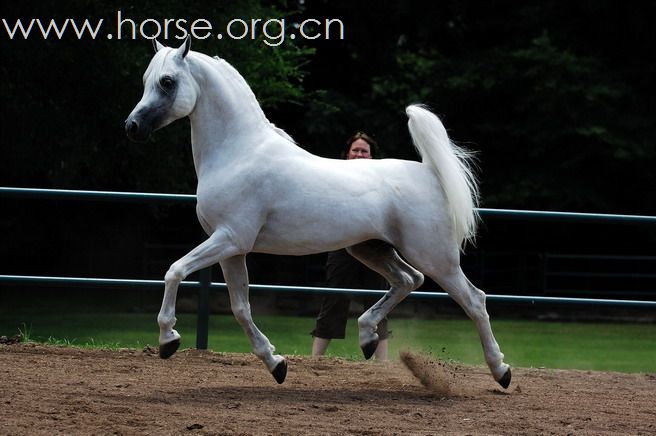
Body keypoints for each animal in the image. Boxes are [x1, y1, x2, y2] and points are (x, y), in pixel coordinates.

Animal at [125, 35, 510, 386]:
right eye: (146, 80)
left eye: (168, 81)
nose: (132, 127)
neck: (237, 152)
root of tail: (430, 173)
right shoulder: (233, 250)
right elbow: (241, 308)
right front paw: (276, 364)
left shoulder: (230, 238)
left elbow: (174, 271)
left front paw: (168, 340)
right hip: (369, 249)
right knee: (407, 280)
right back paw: (367, 337)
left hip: (435, 257)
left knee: (474, 300)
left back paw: (501, 371)